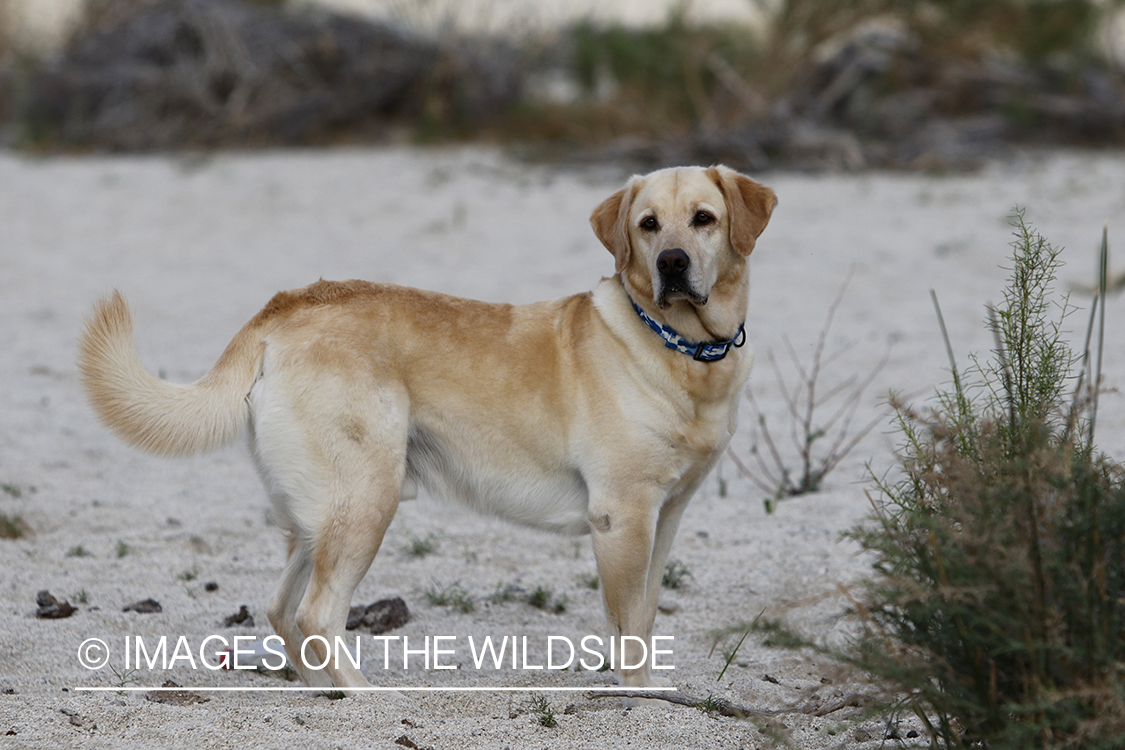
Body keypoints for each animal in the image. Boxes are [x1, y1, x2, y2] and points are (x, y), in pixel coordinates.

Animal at [77, 167, 774, 697]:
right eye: (647, 225)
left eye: (704, 219)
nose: (673, 263)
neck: (682, 349)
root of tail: (284, 307)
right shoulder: (623, 519)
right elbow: (627, 631)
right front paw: (639, 699)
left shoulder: (665, 517)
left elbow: (647, 618)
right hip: (368, 499)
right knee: (317, 613)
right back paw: (364, 698)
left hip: (320, 514)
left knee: (281, 611)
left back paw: (321, 691)